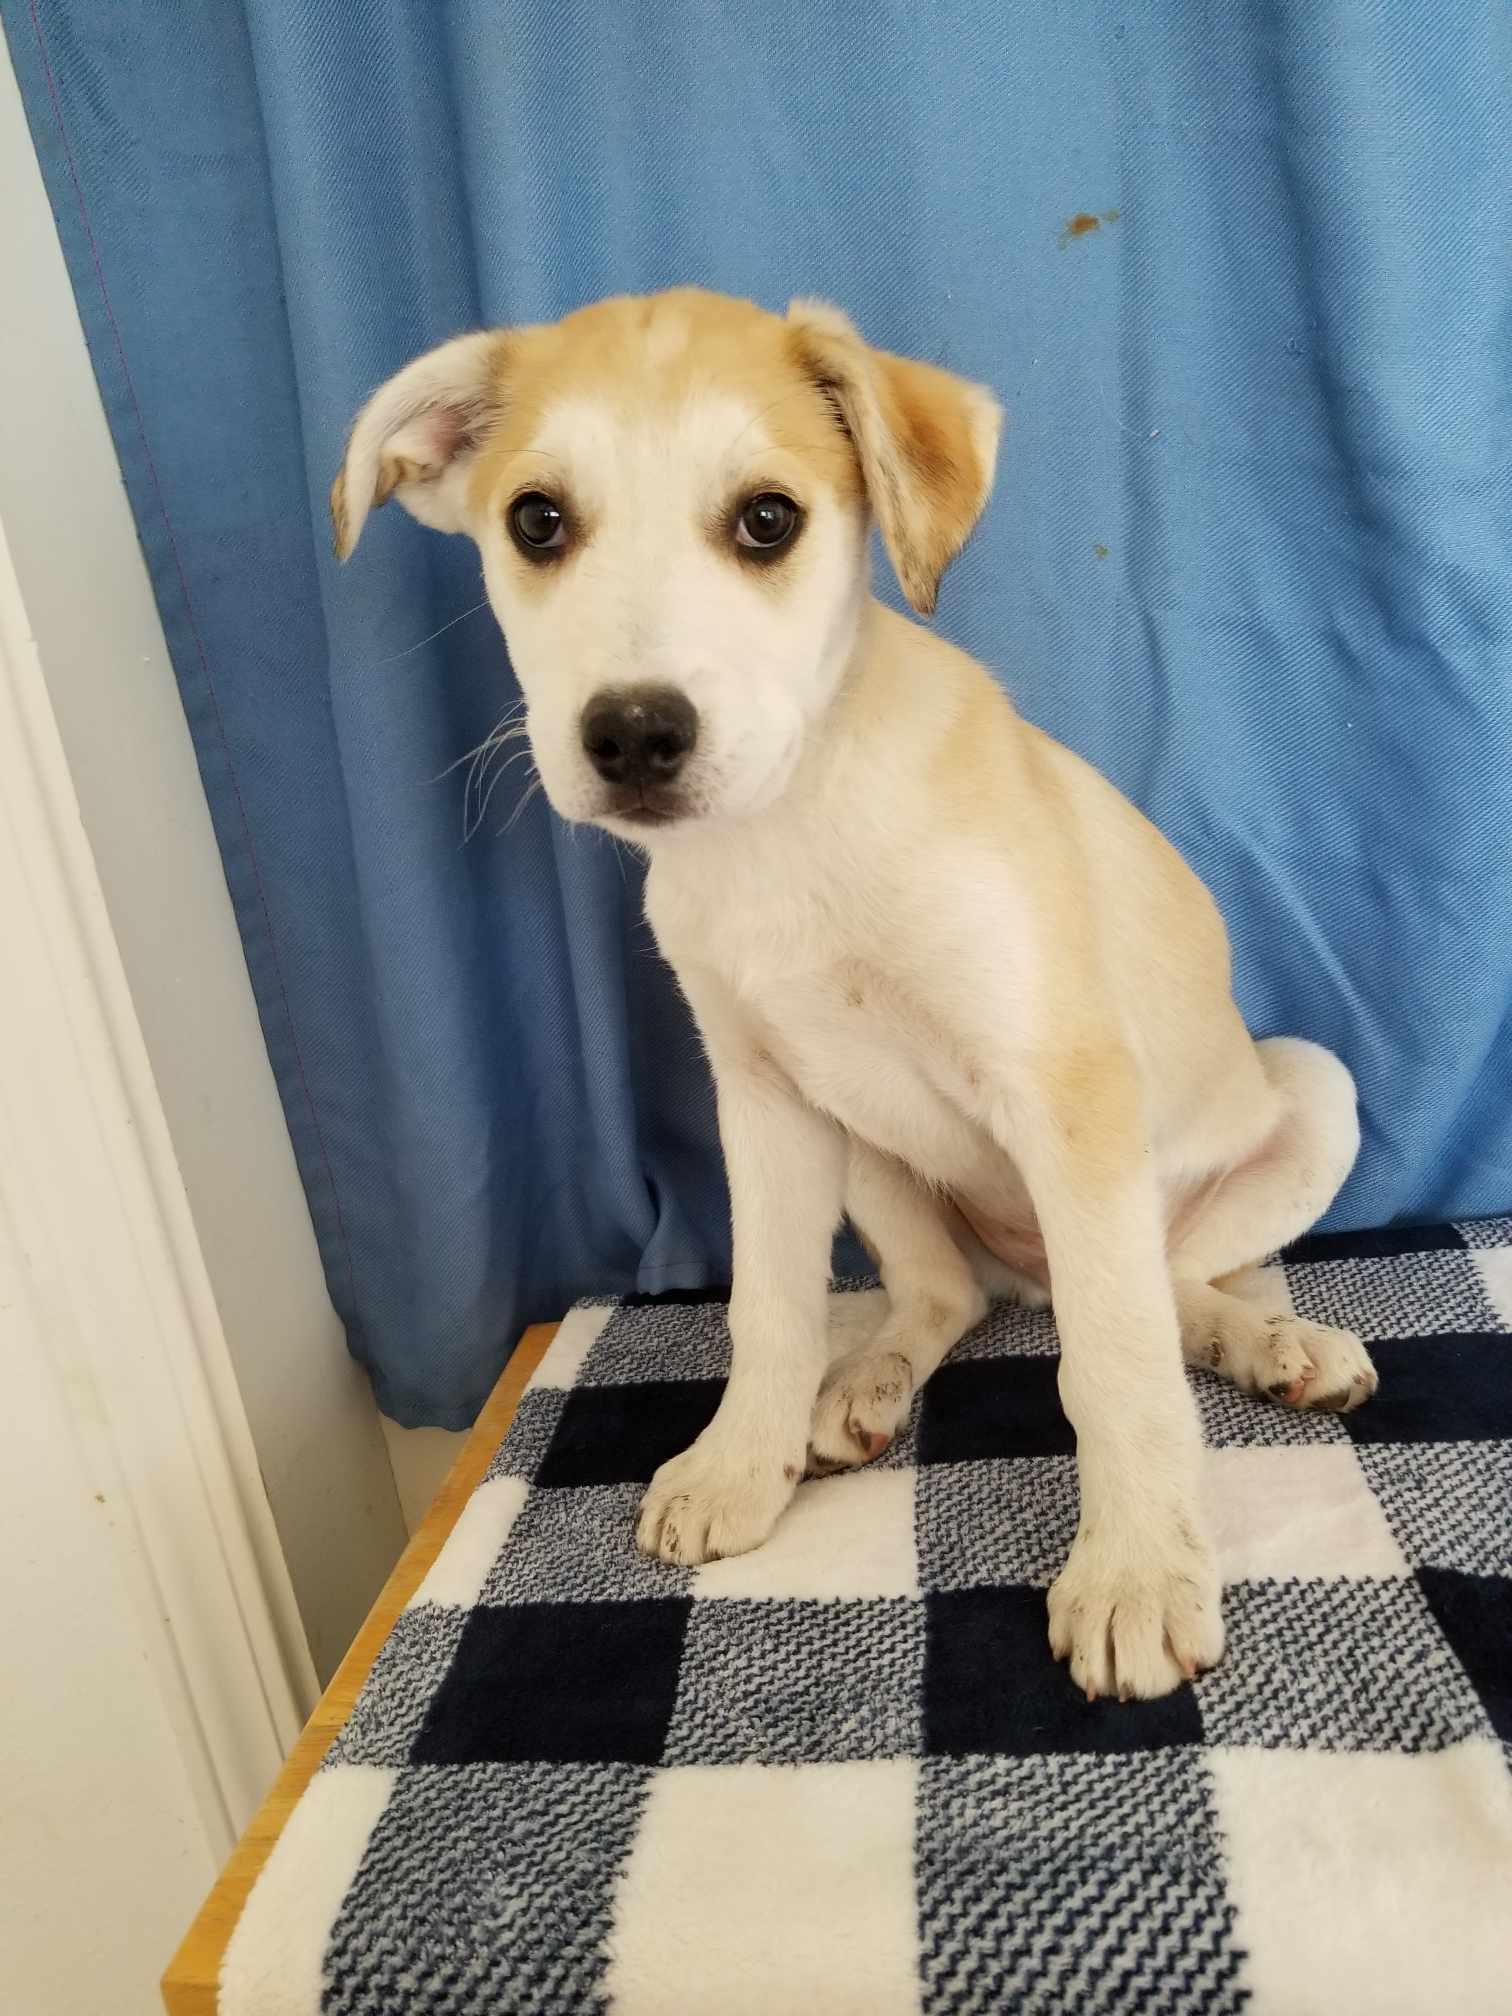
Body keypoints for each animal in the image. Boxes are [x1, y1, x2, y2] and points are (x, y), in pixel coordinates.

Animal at [336, 288, 1378, 1701]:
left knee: (1165, 1292)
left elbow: (1117, 1363)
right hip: (877, 1153)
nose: (634, 735)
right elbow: (768, 1310)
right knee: (946, 1298)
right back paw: (859, 1391)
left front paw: (1134, 1572)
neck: (790, 825)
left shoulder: (1065, 1087)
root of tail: (1026, 1271)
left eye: (768, 519)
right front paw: (741, 1462)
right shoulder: (766, 1098)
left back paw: (1275, 1345)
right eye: (536, 521)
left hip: (1302, 1099)